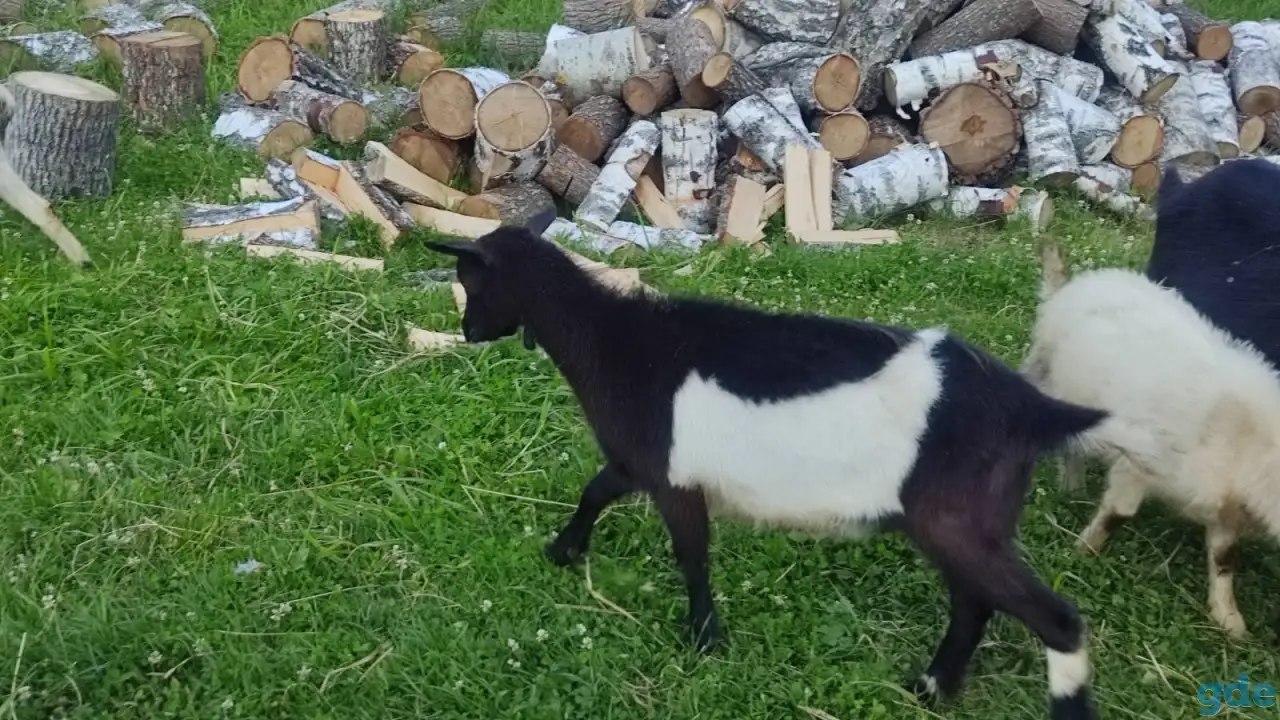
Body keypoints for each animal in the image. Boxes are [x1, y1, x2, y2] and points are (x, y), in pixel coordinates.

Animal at [426, 209, 1104, 720]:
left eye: (470, 279)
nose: (469, 331)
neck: (618, 341)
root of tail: (1032, 408)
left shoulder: (675, 480)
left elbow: (692, 556)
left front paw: (705, 638)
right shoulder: (642, 461)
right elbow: (596, 491)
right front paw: (564, 551)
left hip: (956, 520)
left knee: (1056, 618)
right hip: (971, 521)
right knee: (974, 603)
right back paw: (932, 687)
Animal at [1022, 242, 1280, 639]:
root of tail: (1072, 286)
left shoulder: (1225, 510)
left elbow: (1224, 559)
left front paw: (1229, 621)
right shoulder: (1138, 461)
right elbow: (1118, 513)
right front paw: (1083, 550)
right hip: (1047, 376)